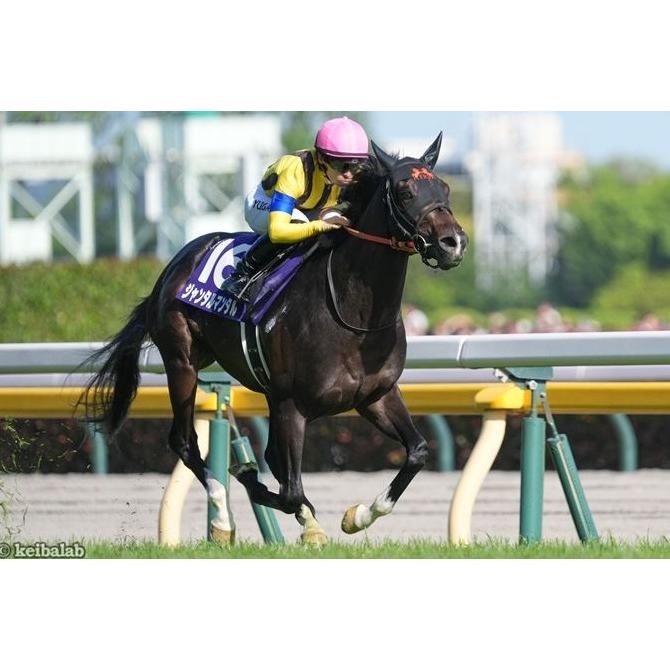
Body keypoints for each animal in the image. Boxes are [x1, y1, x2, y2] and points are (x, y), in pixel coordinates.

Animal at [81, 133, 468, 545]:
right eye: (405, 191)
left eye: (444, 188)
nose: (453, 243)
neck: (355, 316)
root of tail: (176, 264)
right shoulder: (292, 404)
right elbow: (289, 491)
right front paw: (281, 502)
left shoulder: (374, 396)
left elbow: (418, 451)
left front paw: (358, 514)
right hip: (182, 363)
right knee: (185, 442)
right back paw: (223, 518)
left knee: (266, 457)